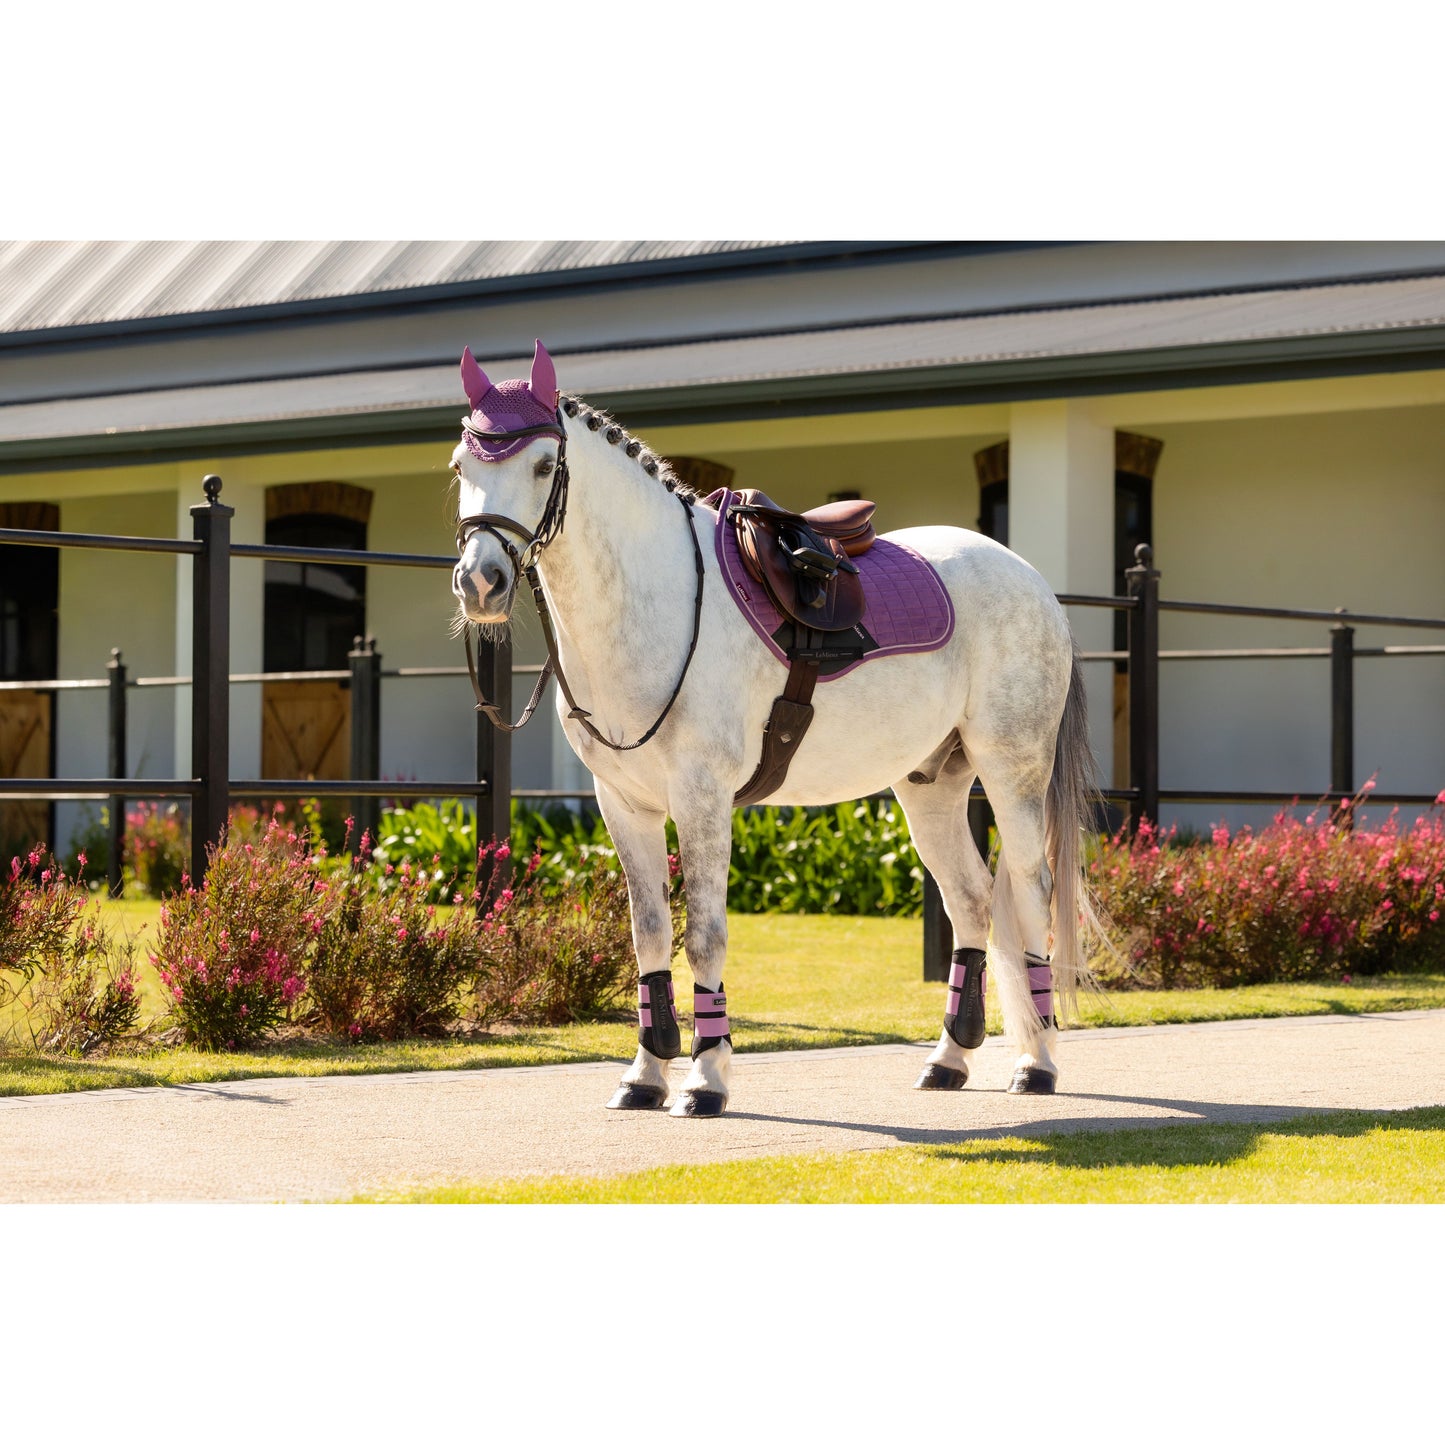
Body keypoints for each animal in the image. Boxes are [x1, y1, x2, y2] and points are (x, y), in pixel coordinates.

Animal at [450, 340, 1104, 1117]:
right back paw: (948, 1059)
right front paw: (644, 1076)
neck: (658, 598)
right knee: (972, 899)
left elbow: (703, 936)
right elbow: (649, 934)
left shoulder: (702, 799)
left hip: (1012, 770)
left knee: (1030, 893)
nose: (481, 581)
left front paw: (705, 1080)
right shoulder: (625, 805)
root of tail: (1034, 584)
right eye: (460, 467)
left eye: (544, 464)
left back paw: (1037, 1063)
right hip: (930, 784)